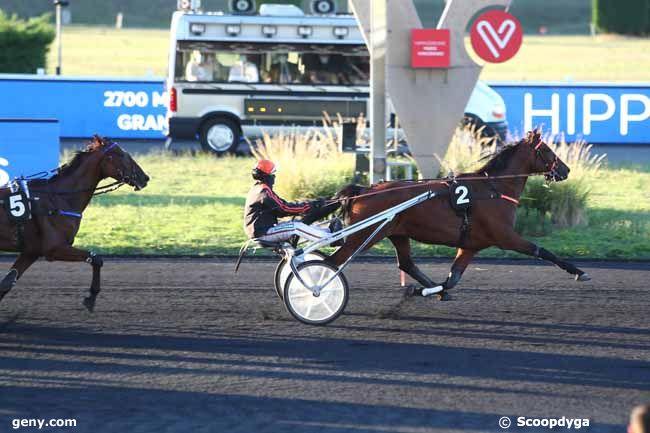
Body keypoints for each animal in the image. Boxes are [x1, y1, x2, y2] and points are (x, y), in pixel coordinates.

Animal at [0, 135, 148, 310]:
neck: (60, 198)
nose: (145, 178)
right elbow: (96, 259)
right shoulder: (55, 248)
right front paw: (91, 296)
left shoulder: (31, 251)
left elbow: (7, 282)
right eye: (121, 154)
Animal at [326, 129, 588, 296]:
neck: (494, 188)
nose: (566, 169)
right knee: (331, 262)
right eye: (548, 150)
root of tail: (363, 190)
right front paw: (579, 272)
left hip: (397, 233)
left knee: (407, 264)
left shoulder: (470, 245)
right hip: (362, 236)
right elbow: (541, 251)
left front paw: (424, 290)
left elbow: (453, 279)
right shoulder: (506, 237)